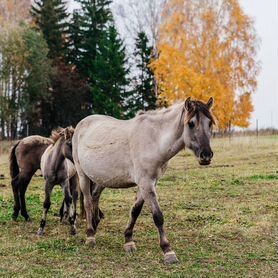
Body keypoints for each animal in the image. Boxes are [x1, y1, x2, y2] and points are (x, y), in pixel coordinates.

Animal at [72, 96, 215, 264]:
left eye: (210, 123)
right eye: (191, 123)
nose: (206, 155)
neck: (155, 140)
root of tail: (82, 123)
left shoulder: (148, 183)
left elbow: (135, 211)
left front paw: (128, 241)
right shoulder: (146, 183)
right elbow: (158, 216)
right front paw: (168, 251)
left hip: (102, 177)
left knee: (95, 196)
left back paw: (94, 226)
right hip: (83, 175)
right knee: (88, 202)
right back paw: (90, 235)